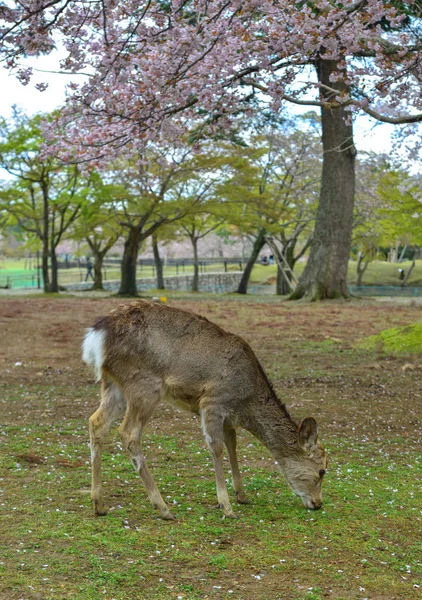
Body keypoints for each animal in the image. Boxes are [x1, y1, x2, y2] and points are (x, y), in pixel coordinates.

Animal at [82, 302, 326, 516]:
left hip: (113, 385)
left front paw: (242, 495)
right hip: (144, 385)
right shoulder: (212, 401)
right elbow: (216, 448)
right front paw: (226, 507)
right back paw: (163, 508)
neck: (246, 402)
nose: (318, 503)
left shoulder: (229, 418)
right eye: (322, 470)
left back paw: (99, 504)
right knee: (128, 432)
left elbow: (232, 446)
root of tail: (95, 337)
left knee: (96, 422)